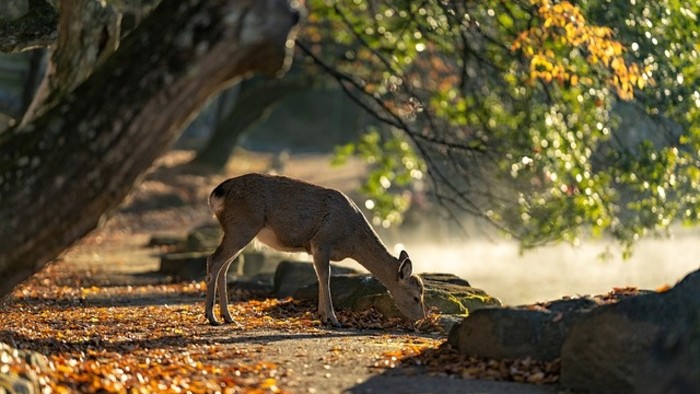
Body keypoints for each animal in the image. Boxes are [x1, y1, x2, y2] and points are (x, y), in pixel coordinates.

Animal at [204, 173, 426, 326]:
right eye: (416, 297)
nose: (421, 317)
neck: (350, 240)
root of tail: (216, 194)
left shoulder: (313, 248)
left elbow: (319, 277)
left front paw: (323, 317)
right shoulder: (321, 242)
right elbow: (325, 277)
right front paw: (333, 320)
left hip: (238, 230)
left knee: (224, 266)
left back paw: (228, 317)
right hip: (242, 226)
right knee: (214, 260)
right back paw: (212, 317)